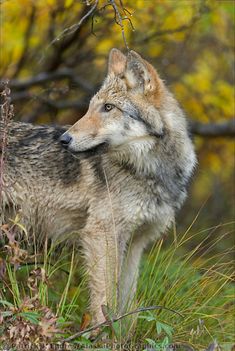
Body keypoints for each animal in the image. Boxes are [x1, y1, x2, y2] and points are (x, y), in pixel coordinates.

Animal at [0, 48, 196, 328]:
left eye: (108, 108)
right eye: (92, 107)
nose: (64, 139)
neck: (151, 172)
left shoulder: (135, 244)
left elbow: (127, 306)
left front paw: (123, 336)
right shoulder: (101, 235)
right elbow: (106, 302)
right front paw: (101, 334)